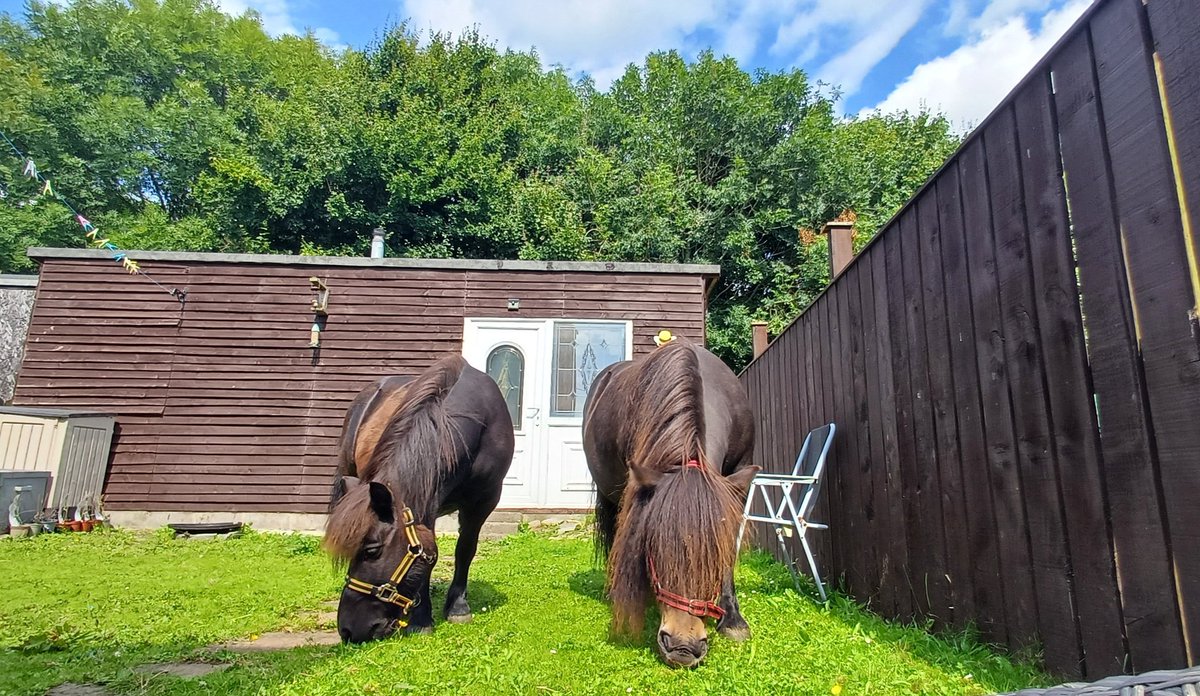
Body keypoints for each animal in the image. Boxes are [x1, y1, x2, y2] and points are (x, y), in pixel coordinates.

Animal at [323, 354, 515, 644]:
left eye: (371, 551)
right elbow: (429, 553)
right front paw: (421, 620)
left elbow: (465, 549)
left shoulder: (484, 501)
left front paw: (457, 607)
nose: (349, 630)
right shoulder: (427, 503)